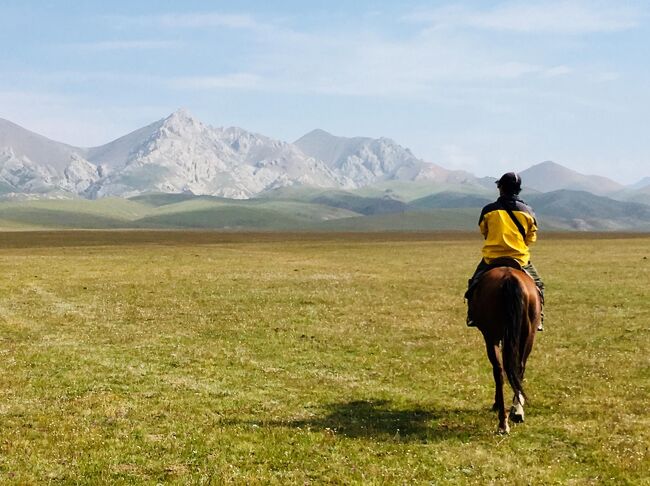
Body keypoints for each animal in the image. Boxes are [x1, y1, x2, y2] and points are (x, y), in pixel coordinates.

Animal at [466, 264, 540, 434]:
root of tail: (509, 278)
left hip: (491, 335)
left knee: (500, 370)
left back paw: (504, 420)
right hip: (527, 334)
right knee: (516, 368)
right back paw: (514, 413)